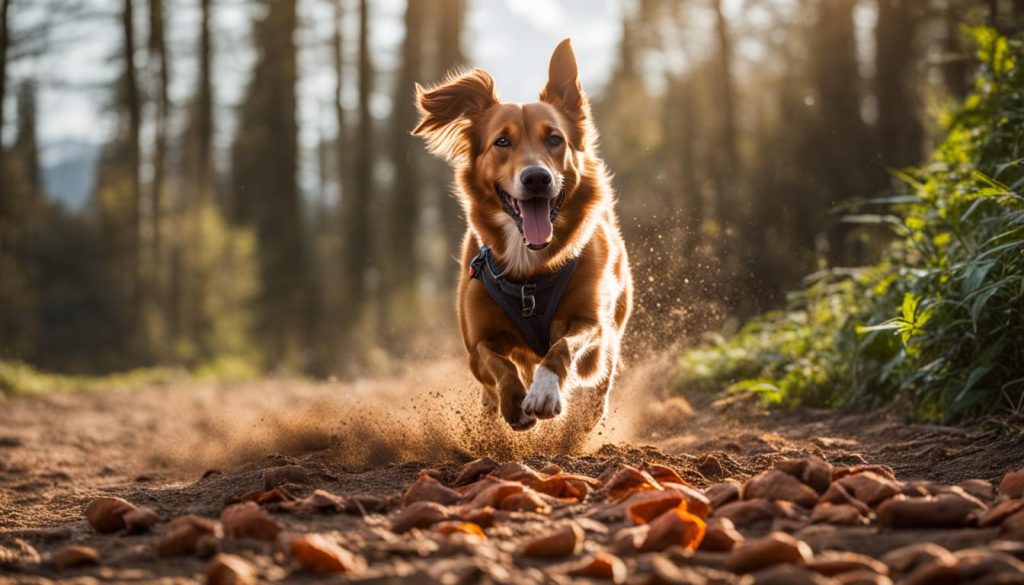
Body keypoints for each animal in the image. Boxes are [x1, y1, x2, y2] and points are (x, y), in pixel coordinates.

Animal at [411, 38, 626, 432]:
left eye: (555, 138)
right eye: (502, 141)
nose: (537, 178)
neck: (530, 267)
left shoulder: (591, 321)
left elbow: (562, 348)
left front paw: (544, 392)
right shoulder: (476, 343)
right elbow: (498, 363)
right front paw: (514, 401)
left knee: (599, 375)